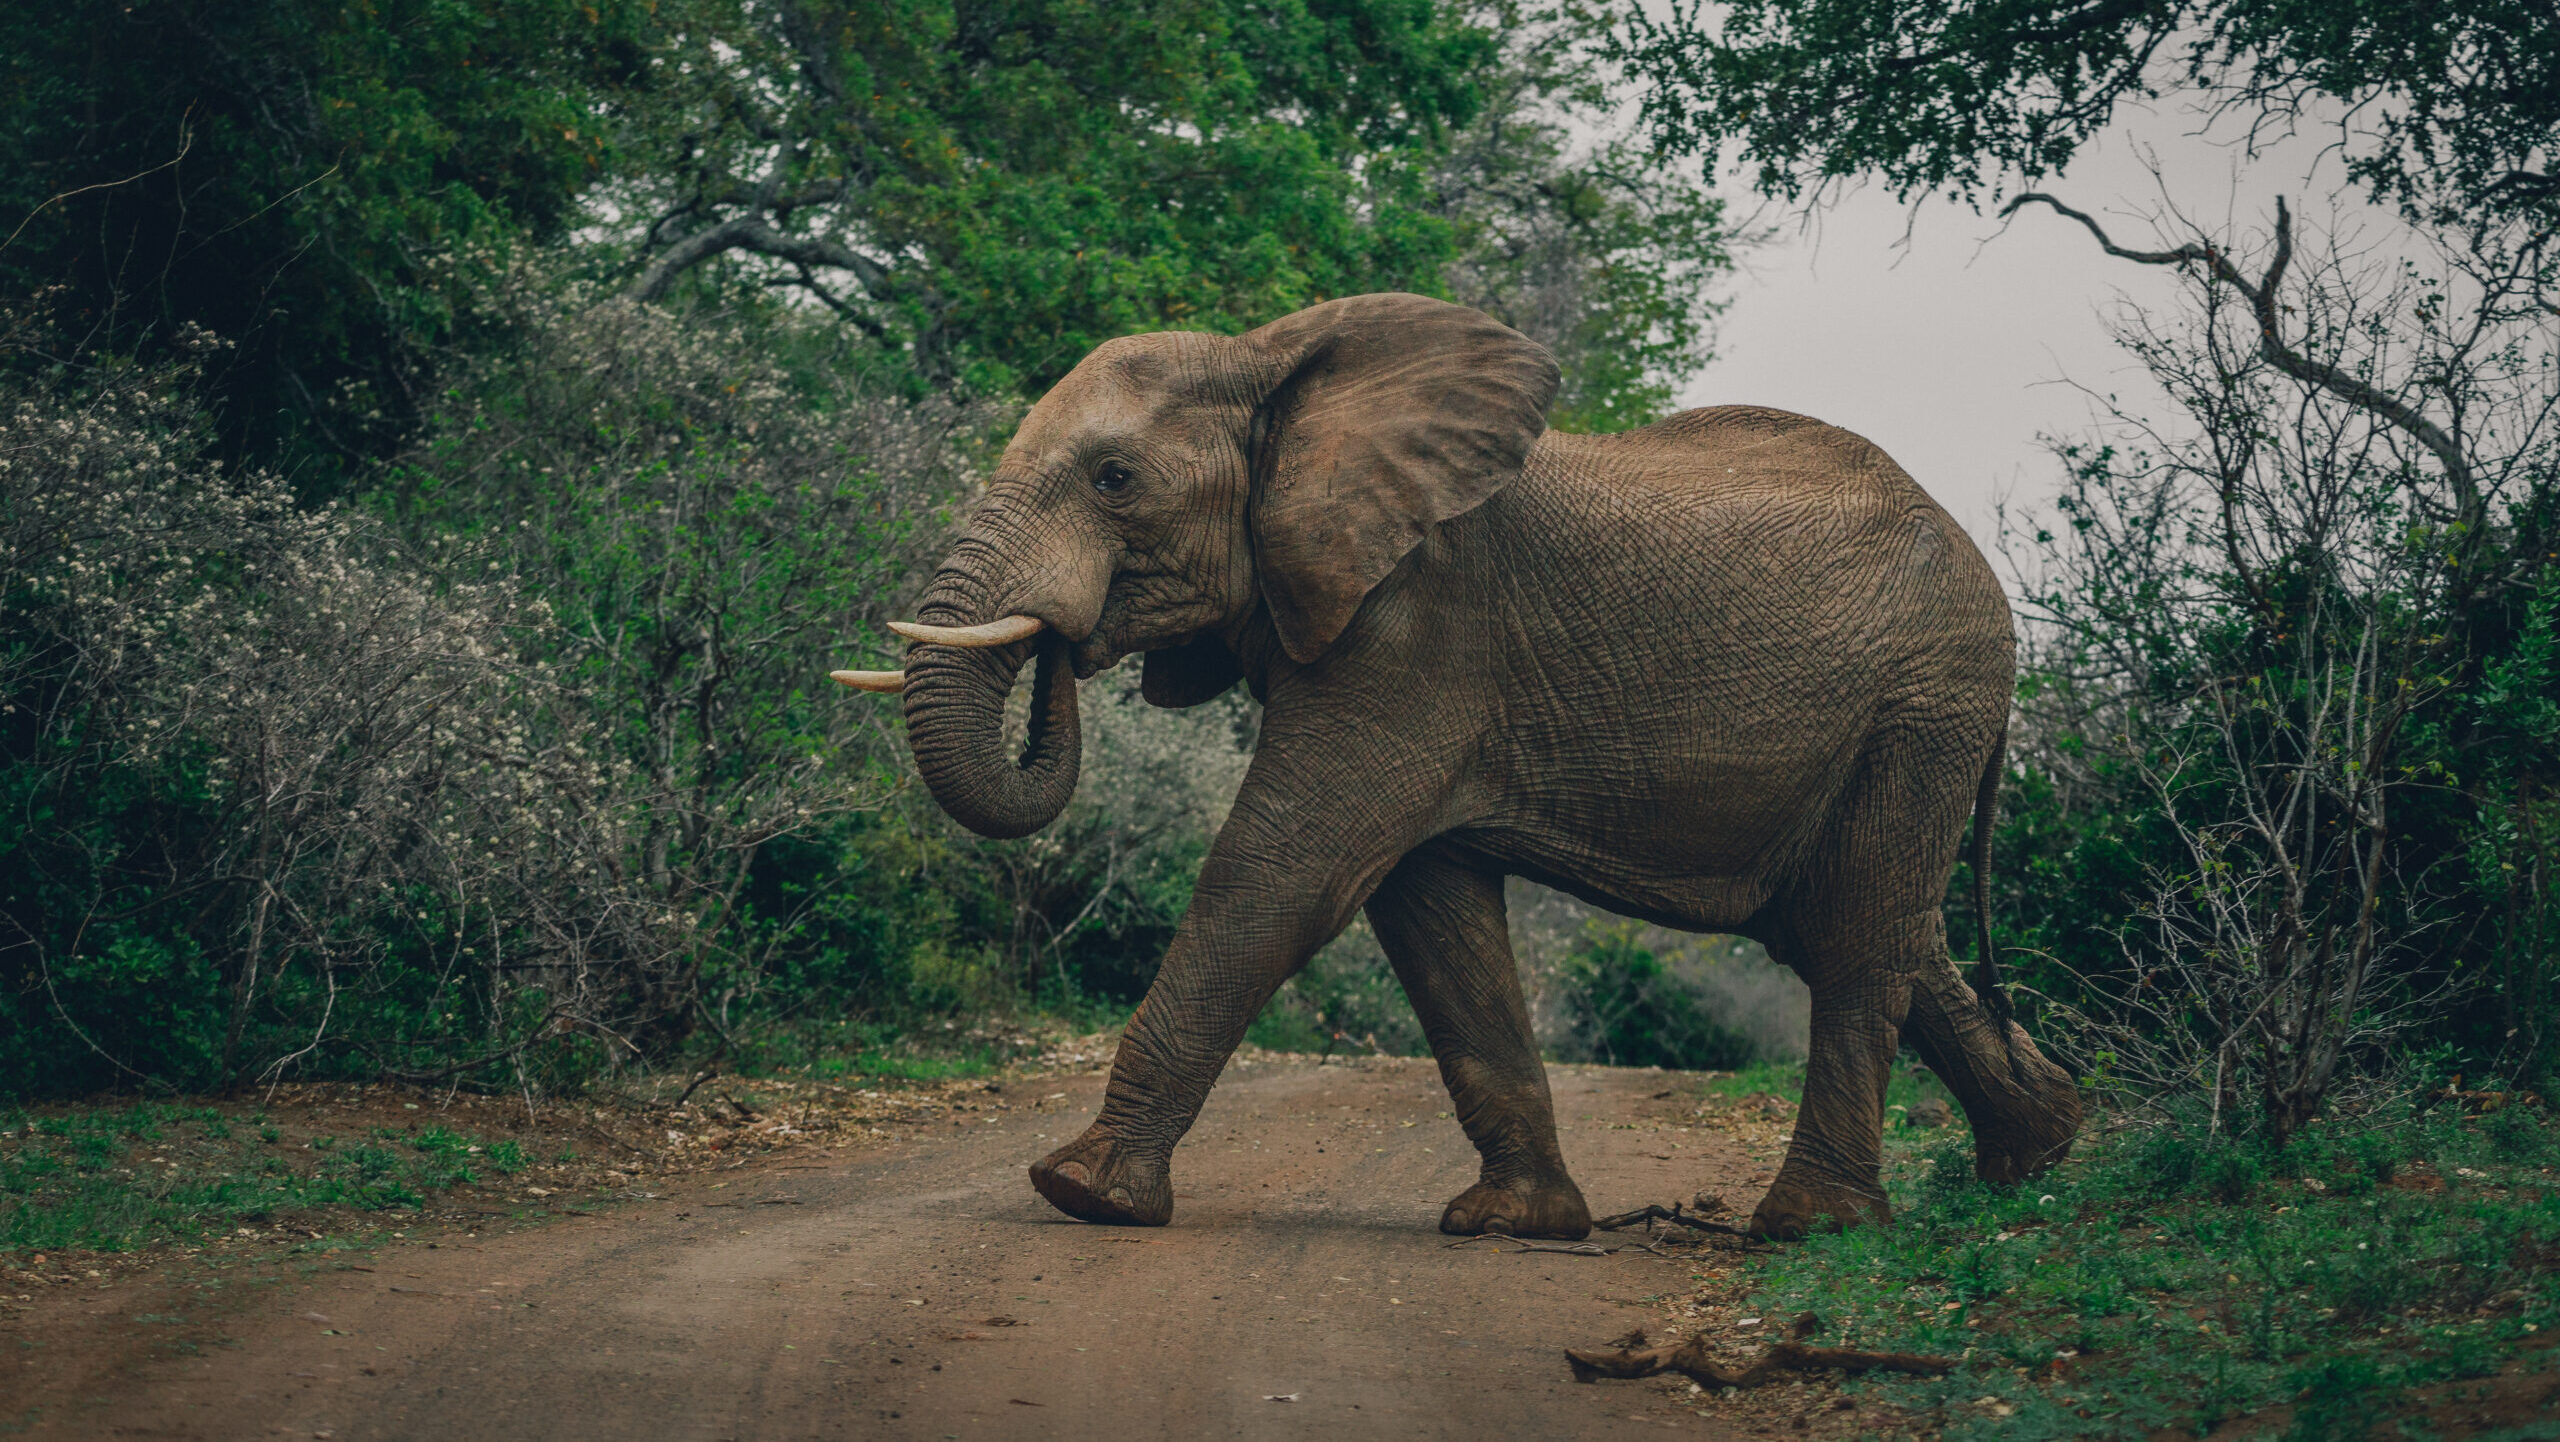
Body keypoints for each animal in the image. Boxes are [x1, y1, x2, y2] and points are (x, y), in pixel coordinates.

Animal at [833, 292, 2083, 1240]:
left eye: (1112, 480)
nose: (1065, 640)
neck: (1274, 362)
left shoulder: (1414, 631)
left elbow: (1284, 869)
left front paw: (1079, 1192)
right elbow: (1429, 913)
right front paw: (1516, 1224)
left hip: (1924, 706)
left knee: (1859, 933)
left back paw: (1811, 1226)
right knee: (1851, 923)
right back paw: (2037, 1152)